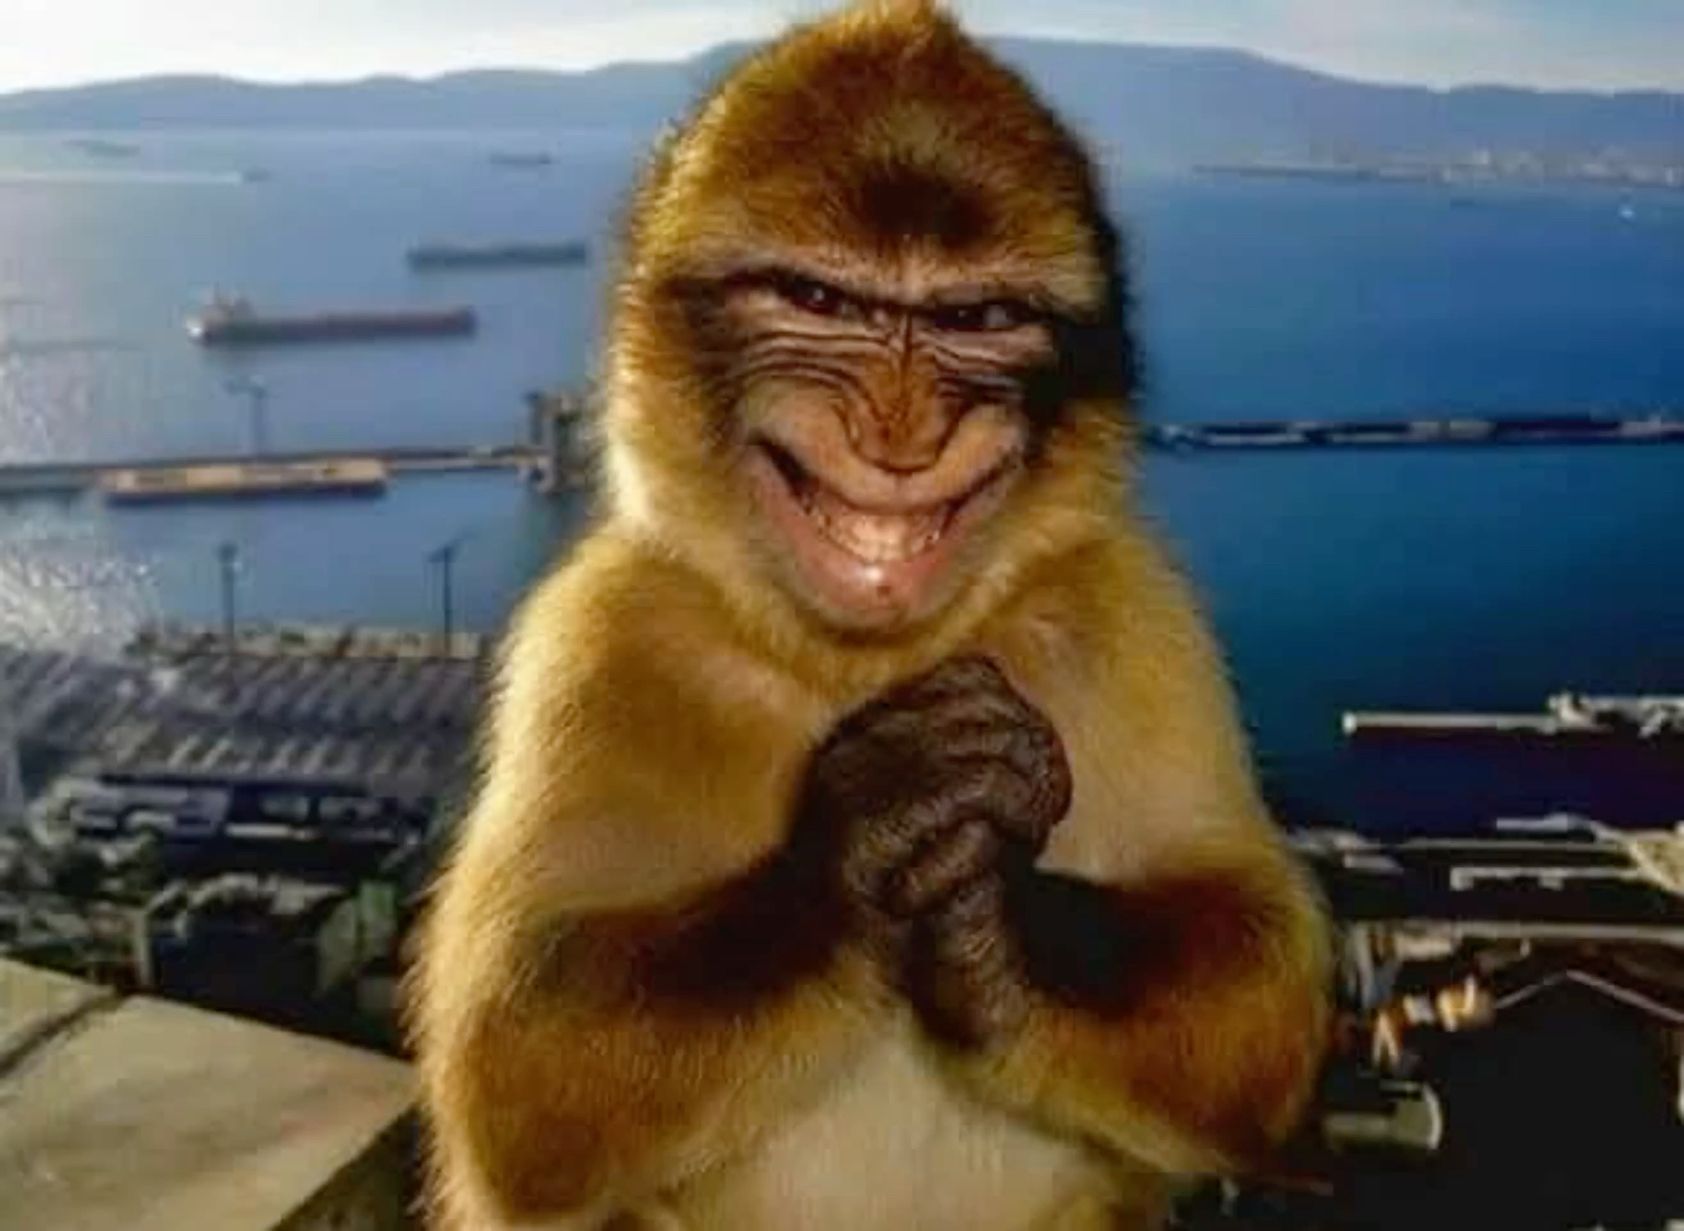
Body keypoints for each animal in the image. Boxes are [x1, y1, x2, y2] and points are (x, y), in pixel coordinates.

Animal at [407, 2, 1331, 1228]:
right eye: (822, 303)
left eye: (977, 317)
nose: (902, 430)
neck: (860, 663)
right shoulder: (598, 639)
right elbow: (516, 1061)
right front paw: (865, 832)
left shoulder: (1137, 615)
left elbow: (1259, 977)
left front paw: (1000, 926)